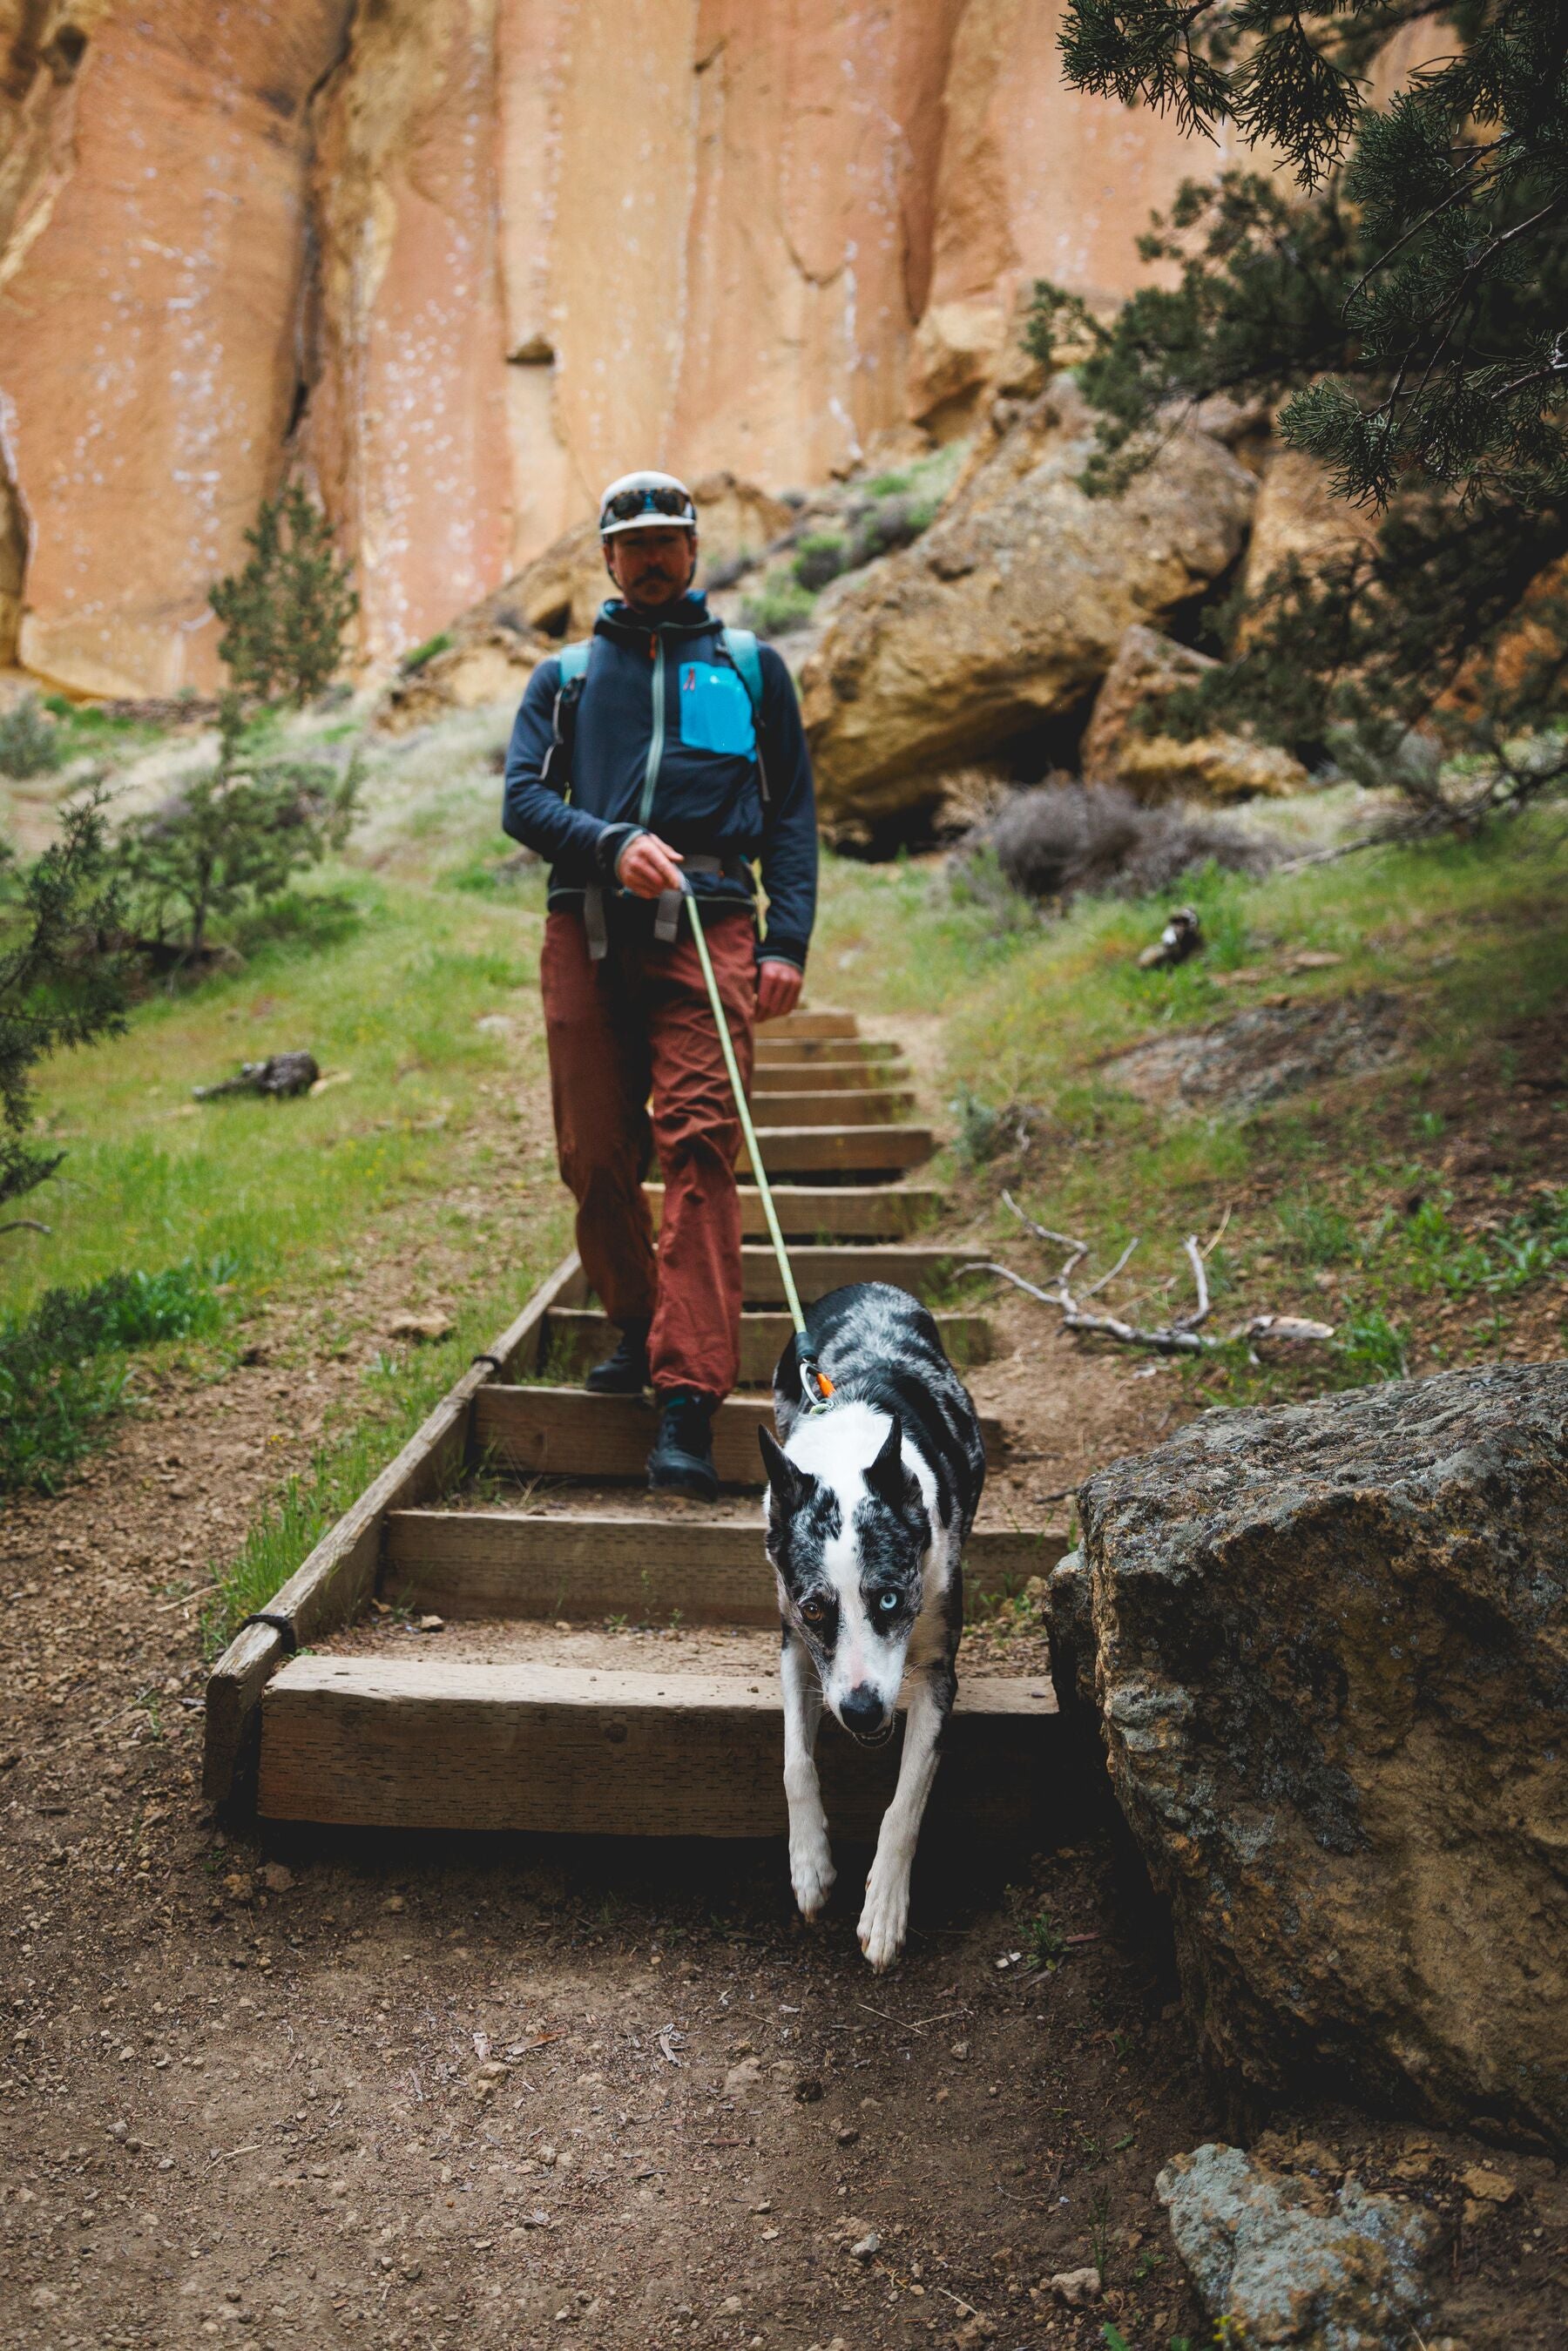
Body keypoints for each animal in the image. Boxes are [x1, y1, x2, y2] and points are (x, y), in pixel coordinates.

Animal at [756, 1288, 983, 1965]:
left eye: (888, 1598)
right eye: (814, 1609)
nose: (860, 1711)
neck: (848, 1459)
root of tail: (865, 1286)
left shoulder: (936, 1671)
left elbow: (905, 1804)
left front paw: (883, 1908)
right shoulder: (794, 1644)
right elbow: (794, 1761)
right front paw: (809, 1864)